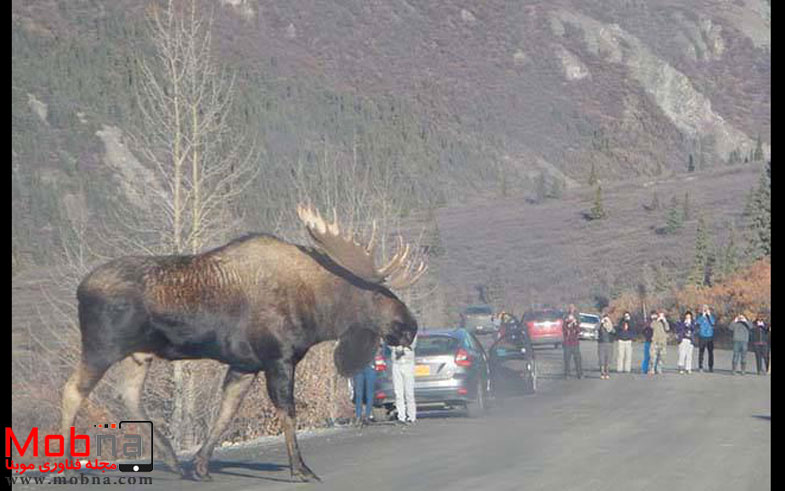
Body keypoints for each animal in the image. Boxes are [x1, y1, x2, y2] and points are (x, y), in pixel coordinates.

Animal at [59, 203, 428, 480]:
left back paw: (172, 459)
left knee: (128, 395)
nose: (410, 326)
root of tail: (79, 288)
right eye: (378, 294)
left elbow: (225, 414)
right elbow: (287, 412)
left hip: (139, 353)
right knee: (72, 390)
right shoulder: (278, 358)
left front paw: (201, 466)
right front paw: (301, 468)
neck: (318, 312)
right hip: (102, 347)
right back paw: (65, 467)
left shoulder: (244, 364)